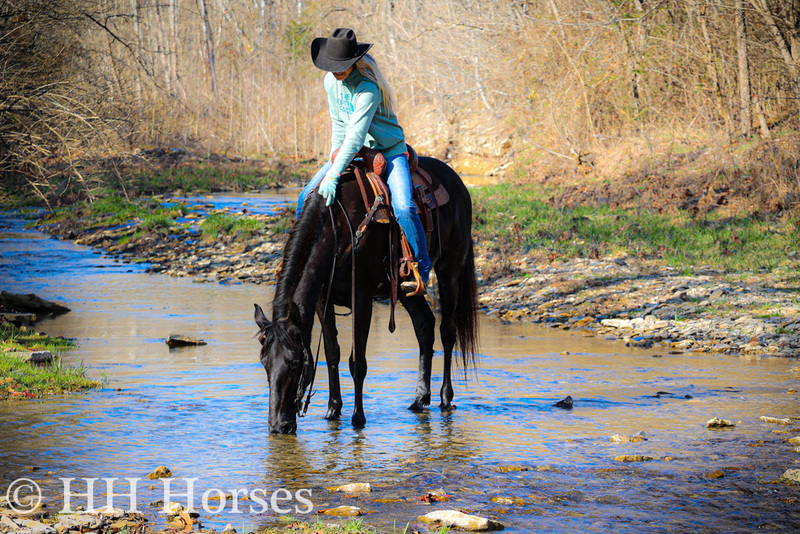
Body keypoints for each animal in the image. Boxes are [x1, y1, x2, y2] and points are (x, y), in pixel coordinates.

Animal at [255, 156, 476, 436]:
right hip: (405, 289)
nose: (278, 426)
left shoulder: (361, 299)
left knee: (447, 331)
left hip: (451, 268)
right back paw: (419, 399)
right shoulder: (322, 302)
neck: (337, 229)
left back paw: (445, 397)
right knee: (425, 326)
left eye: (294, 362)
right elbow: (332, 354)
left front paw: (358, 417)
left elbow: (357, 362)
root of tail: (457, 182)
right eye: (264, 362)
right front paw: (332, 411)